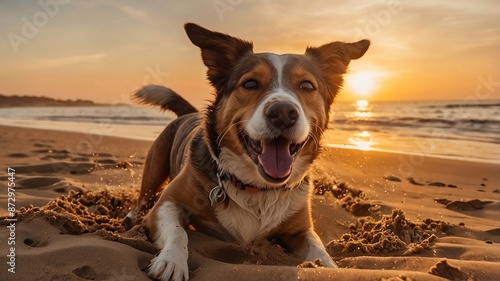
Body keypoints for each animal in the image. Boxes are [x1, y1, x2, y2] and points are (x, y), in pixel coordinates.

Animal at [125, 23, 368, 278]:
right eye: (250, 84)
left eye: (307, 86)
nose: (283, 112)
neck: (257, 188)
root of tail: (188, 114)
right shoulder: (166, 205)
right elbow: (178, 231)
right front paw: (172, 261)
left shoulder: (300, 230)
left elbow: (320, 250)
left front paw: (332, 269)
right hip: (154, 170)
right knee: (143, 199)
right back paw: (130, 218)